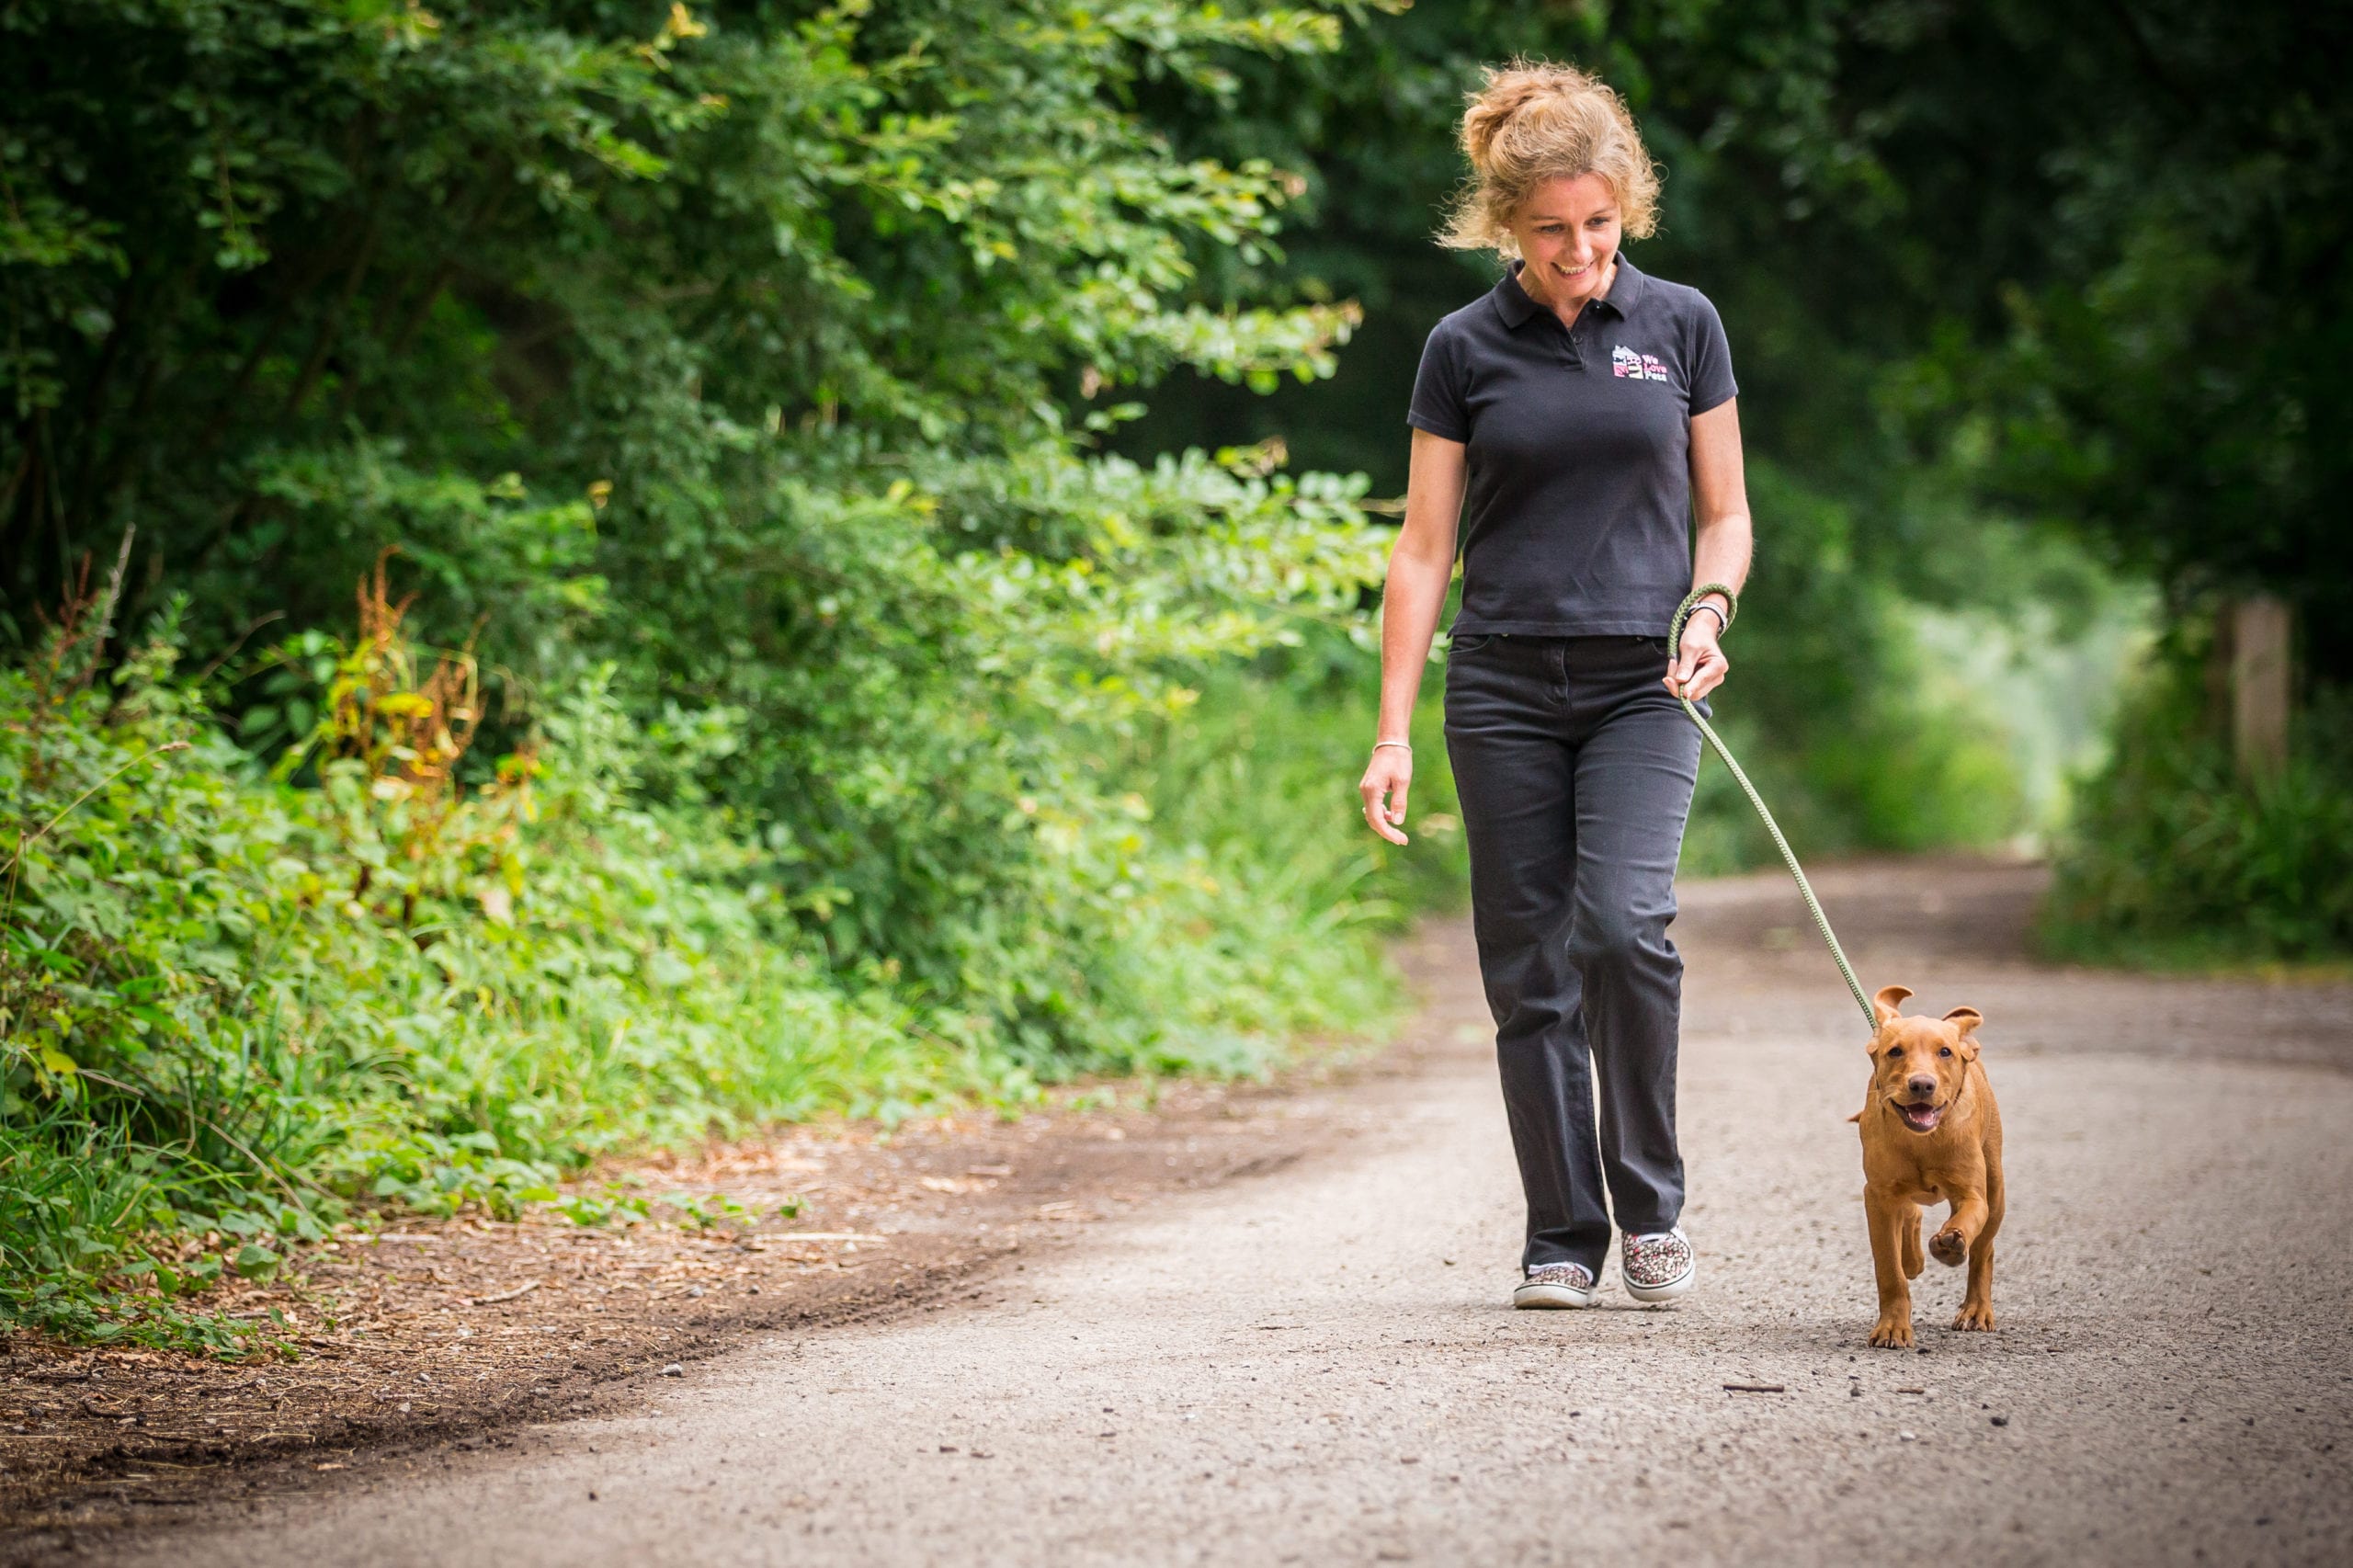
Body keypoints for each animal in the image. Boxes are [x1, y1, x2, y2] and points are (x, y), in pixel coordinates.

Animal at [1854, 983, 2005, 1336]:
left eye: (1945, 1052)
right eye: (1895, 1051)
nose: (1922, 1084)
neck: (1922, 1142)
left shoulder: (1973, 1194)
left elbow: (1969, 1219)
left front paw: (1950, 1244)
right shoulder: (1878, 1197)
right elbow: (1889, 1270)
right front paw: (1892, 1327)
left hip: (1997, 1189)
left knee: (1984, 1251)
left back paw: (1976, 1309)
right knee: (1912, 1214)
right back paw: (1913, 1261)